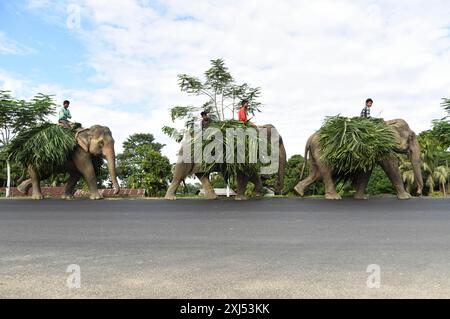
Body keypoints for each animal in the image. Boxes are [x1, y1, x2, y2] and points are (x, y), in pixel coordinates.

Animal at [294, 119, 424, 200]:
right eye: (411, 136)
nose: (418, 193)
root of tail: (310, 138)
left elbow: (366, 171)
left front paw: (361, 198)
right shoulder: (383, 147)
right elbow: (391, 166)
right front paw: (406, 197)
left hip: (314, 153)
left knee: (316, 174)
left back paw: (298, 192)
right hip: (320, 150)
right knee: (326, 171)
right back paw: (334, 197)